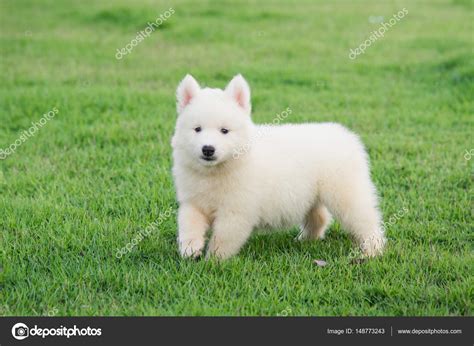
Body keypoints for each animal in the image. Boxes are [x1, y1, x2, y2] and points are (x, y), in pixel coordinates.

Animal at [171, 75, 386, 260]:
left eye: (224, 131)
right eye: (197, 129)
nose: (208, 149)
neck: (215, 171)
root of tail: (347, 136)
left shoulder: (236, 210)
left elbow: (223, 238)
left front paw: (213, 260)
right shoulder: (193, 202)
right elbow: (188, 224)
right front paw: (190, 249)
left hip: (347, 193)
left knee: (366, 220)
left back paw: (372, 251)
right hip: (312, 194)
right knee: (319, 217)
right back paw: (305, 240)